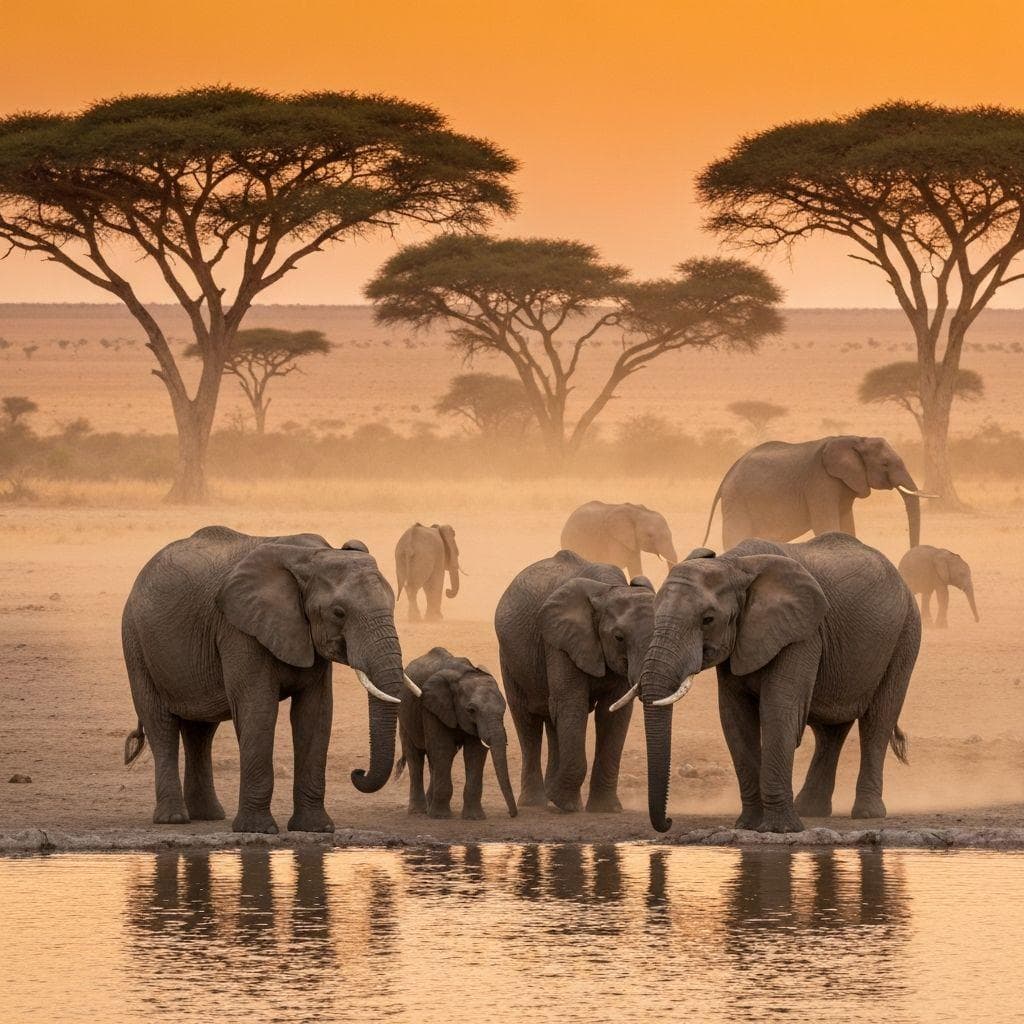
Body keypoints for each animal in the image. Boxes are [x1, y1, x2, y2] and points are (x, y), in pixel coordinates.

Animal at [121, 525, 419, 834]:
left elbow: (315, 713)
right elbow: (258, 709)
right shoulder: (239, 630)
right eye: (339, 613)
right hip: (136, 642)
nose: (357, 772)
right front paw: (257, 829)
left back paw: (208, 815)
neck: (311, 558)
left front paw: (316, 828)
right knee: (161, 725)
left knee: (201, 731)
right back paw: (173, 818)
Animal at [396, 646, 518, 819]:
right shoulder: (431, 708)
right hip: (405, 716)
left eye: (503, 710)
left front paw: (474, 818)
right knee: (416, 757)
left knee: (437, 760)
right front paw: (440, 817)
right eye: (471, 710)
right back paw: (418, 811)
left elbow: (474, 753)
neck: (465, 674)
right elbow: (442, 748)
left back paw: (429, 806)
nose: (512, 814)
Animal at [494, 549, 655, 813]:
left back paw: (551, 798)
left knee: (552, 719)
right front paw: (565, 804)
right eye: (619, 637)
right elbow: (572, 704)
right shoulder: (558, 642)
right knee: (528, 720)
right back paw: (537, 802)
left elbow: (613, 714)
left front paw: (605, 809)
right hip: (509, 657)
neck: (608, 590)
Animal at [638, 533, 920, 834]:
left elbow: (779, 711)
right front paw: (748, 825)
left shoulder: (802, 634)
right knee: (830, 732)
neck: (732, 564)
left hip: (905, 634)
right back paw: (811, 810)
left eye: (708, 620)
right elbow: (735, 719)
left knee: (877, 720)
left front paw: (780, 829)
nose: (668, 822)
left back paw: (866, 813)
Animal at [702, 435, 934, 551]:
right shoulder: (820, 483)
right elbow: (826, 525)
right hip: (737, 499)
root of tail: (728, 474)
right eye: (885, 464)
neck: (857, 439)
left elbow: (847, 525)